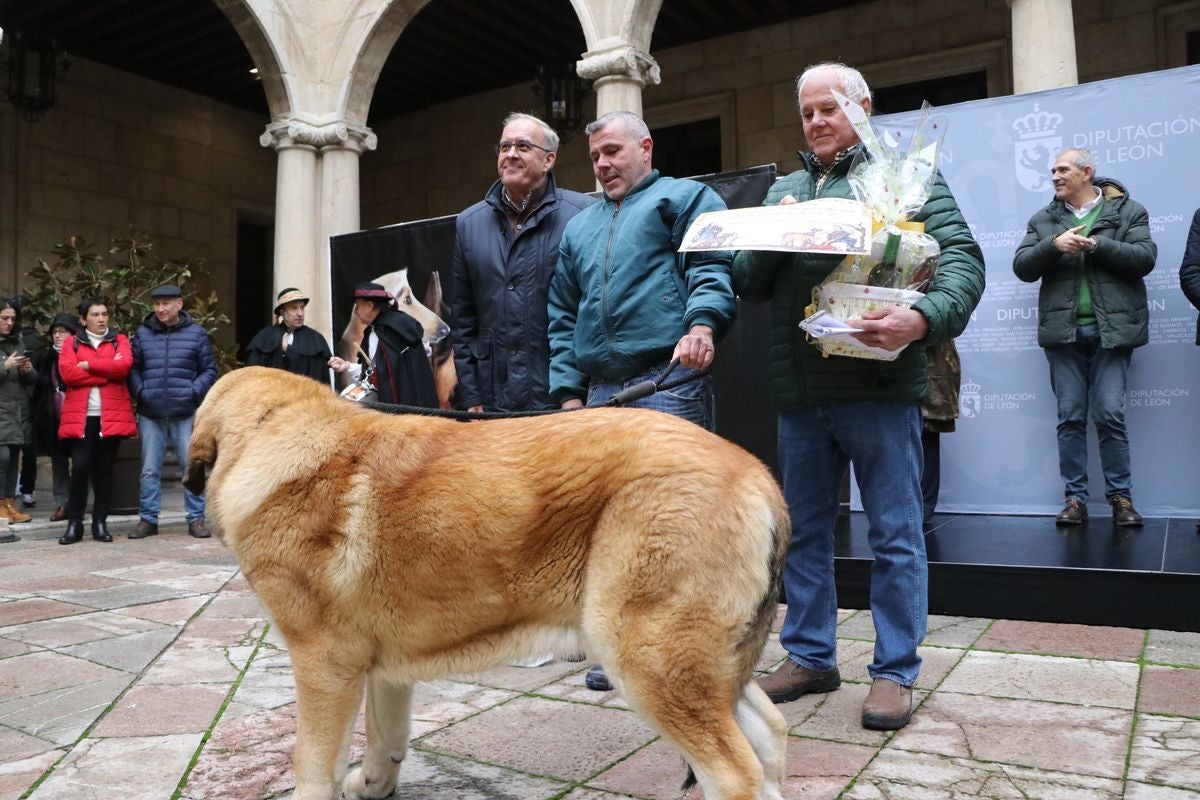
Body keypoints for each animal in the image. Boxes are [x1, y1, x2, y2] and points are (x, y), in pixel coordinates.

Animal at [184, 369, 787, 800]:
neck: (272, 427)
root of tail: (759, 476)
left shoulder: (323, 664)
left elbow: (311, 764)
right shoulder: (382, 664)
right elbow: (386, 736)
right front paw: (373, 784)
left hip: (647, 658)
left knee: (733, 772)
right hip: (706, 666)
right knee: (770, 737)